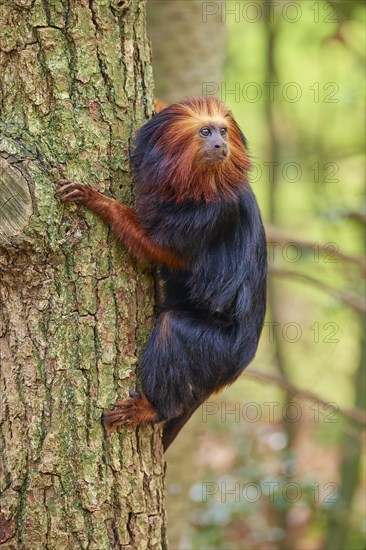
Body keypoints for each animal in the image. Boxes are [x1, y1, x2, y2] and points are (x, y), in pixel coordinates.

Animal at [55, 97, 268, 450]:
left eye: (222, 132)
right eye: (206, 132)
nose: (220, 145)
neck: (198, 181)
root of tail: (240, 364)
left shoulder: (212, 212)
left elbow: (158, 248)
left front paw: (99, 202)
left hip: (220, 350)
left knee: (173, 328)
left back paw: (153, 408)